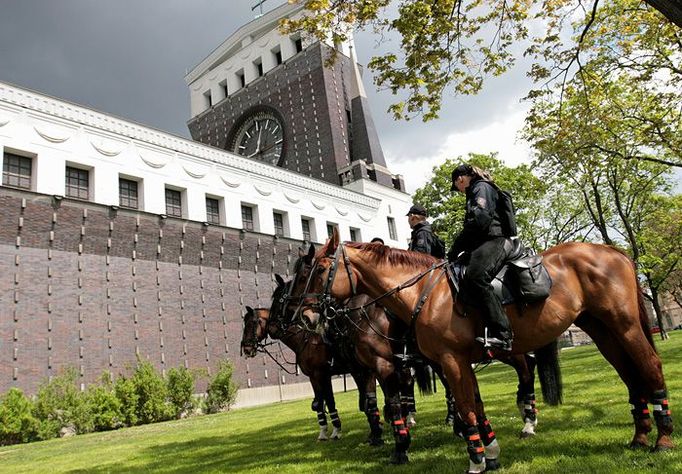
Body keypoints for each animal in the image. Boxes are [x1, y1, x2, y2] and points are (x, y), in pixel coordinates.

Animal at [290, 230, 668, 470]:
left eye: (319, 270)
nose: (305, 316)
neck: (423, 293)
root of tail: (614, 251)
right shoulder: (456, 363)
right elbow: (476, 407)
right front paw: (491, 452)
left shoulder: (442, 363)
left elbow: (459, 409)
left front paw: (472, 459)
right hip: (602, 331)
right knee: (630, 376)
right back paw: (640, 435)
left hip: (625, 327)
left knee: (650, 366)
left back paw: (663, 438)